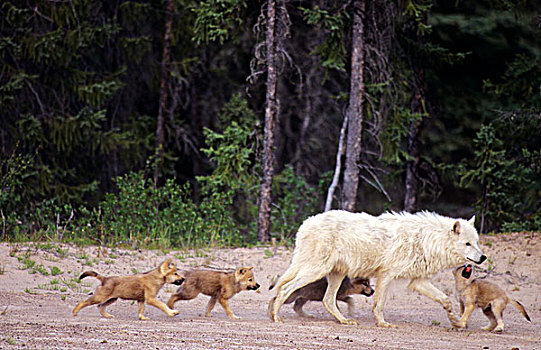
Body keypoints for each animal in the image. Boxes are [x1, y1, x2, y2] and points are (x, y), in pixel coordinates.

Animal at [270, 211, 486, 328]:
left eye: (476, 243)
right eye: (467, 244)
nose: (483, 257)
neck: (427, 241)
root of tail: (305, 223)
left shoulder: (418, 281)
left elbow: (445, 300)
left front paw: (456, 321)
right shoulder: (387, 275)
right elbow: (379, 304)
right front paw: (382, 323)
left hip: (335, 274)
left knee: (327, 300)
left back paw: (344, 321)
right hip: (315, 271)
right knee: (285, 288)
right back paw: (275, 317)